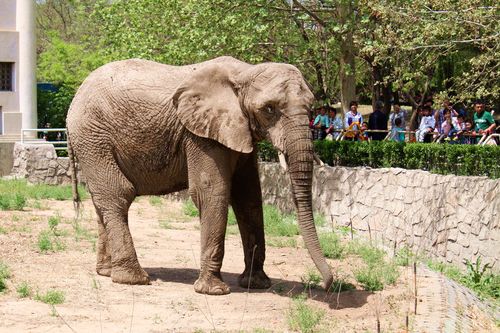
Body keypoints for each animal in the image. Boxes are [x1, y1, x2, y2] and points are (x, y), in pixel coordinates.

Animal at [65, 56, 332, 294]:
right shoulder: (200, 134)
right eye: (269, 109)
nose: (328, 285)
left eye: (311, 108)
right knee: (117, 195)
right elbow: (211, 191)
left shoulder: (237, 131)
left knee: (102, 201)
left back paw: (106, 272)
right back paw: (133, 279)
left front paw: (256, 284)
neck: (245, 72)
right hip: (93, 137)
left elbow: (249, 197)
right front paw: (214, 291)